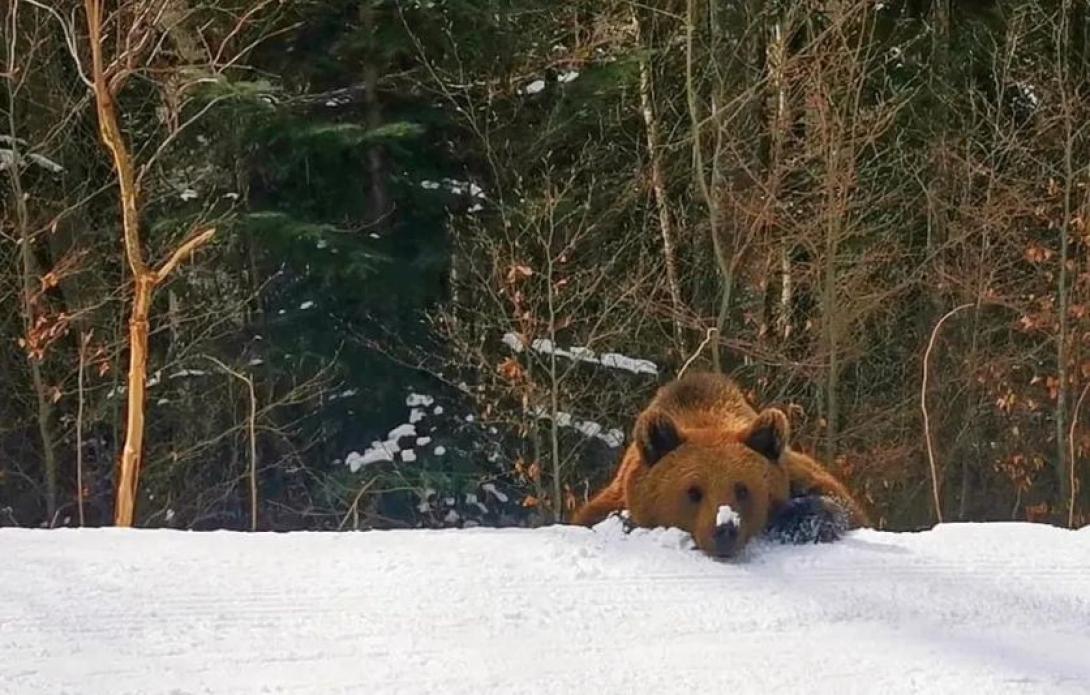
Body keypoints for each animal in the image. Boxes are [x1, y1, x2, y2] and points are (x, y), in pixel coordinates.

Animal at [571, 370, 867, 562]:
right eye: (693, 491)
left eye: (743, 488)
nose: (725, 529)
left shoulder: (799, 475)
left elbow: (839, 505)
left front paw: (794, 520)